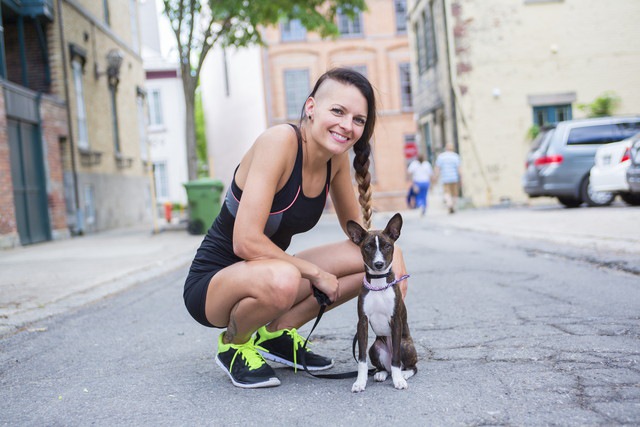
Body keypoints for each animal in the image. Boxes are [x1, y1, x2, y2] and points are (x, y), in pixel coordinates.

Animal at [348, 212, 418, 392]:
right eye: (368, 247)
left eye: (387, 246)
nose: (379, 264)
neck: (378, 283)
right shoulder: (362, 322)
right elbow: (362, 360)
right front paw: (360, 382)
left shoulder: (396, 320)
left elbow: (396, 360)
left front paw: (398, 380)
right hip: (375, 347)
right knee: (385, 367)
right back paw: (381, 373)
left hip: (404, 343)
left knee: (409, 366)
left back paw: (404, 374)